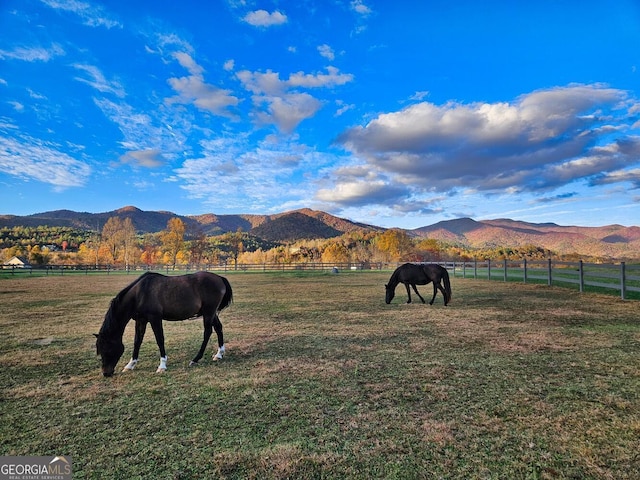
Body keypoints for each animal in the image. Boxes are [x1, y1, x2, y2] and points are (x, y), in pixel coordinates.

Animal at [95, 272, 232, 376]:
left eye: (107, 348)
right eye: (100, 350)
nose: (106, 373)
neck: (140, 294)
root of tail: (219, 278)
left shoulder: (155, 319)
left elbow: (159, 339)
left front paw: (162, 365)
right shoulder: (141, 320)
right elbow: (137, 341)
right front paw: (130, 365)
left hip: (209, 312)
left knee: (207, 332)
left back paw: (195, 359)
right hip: (211, 313)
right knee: (218, 328)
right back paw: (219, 354)